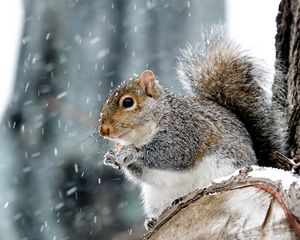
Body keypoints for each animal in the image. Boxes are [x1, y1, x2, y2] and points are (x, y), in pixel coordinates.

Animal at [99, 29, 288, 230]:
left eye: (128, 102)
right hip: (155, 196)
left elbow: (172, 154)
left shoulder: (187, 131)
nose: (103, 130)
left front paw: (131, 152)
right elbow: (145, 174)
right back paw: (152, 220)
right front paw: (111, 157)